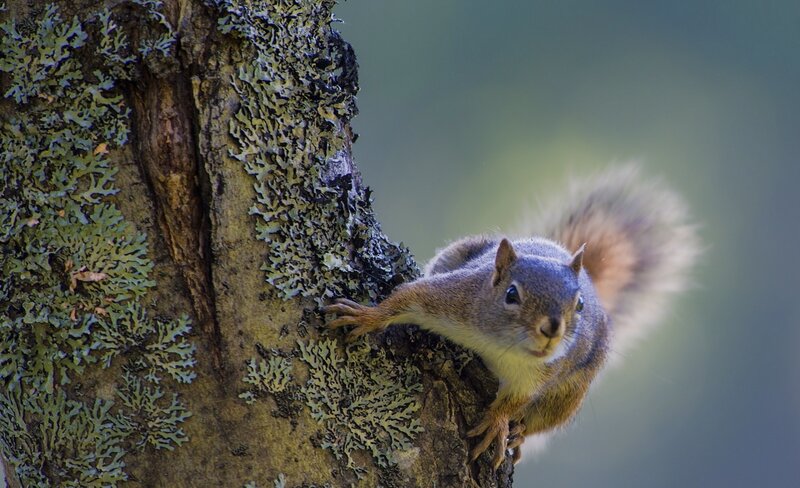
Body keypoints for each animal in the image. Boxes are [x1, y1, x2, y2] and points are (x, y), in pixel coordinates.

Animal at [322, 167, 699, 470]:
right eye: (511, 295)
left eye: (579, 305)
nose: (552, 329)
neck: (500, 346)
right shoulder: (454, 299)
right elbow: (408, 297)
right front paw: (367, 316)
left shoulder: (538, 375)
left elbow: (516, 400)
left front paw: (498, 423)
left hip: (570, 394)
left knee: (541, 420)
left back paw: (518, 436)